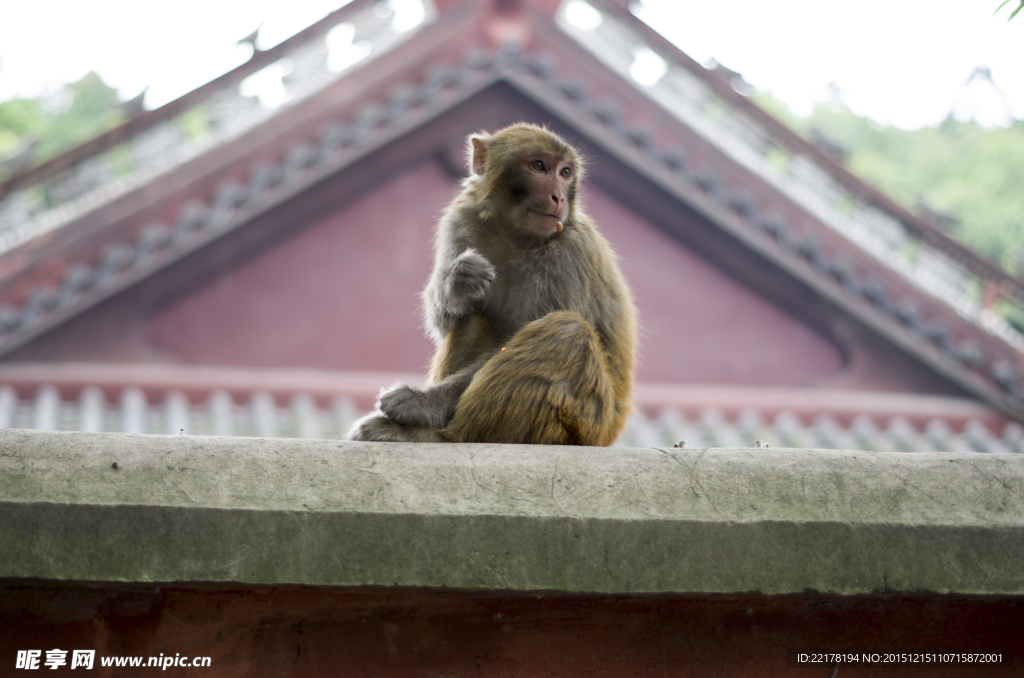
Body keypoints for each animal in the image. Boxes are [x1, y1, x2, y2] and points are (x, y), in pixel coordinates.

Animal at [348, 124, 634, 448]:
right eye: (538, 166)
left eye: (565, 173)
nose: (559, 197)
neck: (516, 234)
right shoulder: (459, 221)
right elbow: (446, 324)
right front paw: (457, 279)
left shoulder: (569, 252)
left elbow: (516, 338)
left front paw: (420, 403)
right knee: (472, 322)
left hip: (587, 423)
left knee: (567, 332)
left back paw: (442, 436)